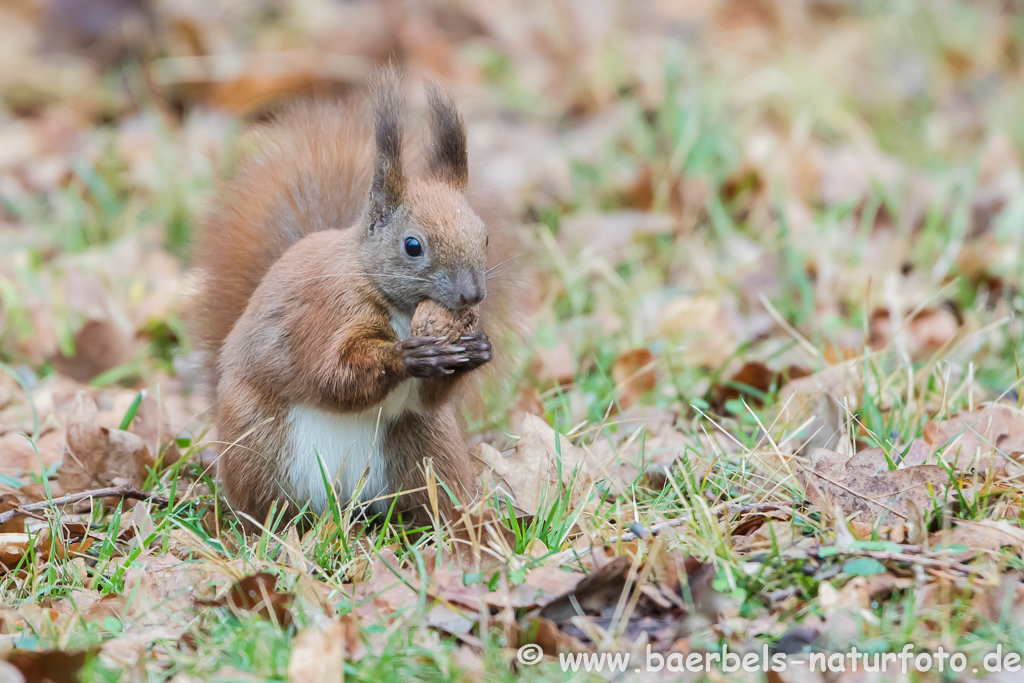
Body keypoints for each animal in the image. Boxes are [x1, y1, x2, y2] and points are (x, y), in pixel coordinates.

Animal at [192, 70, 512, 524]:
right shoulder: (326, 312)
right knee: (266, 506)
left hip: (428, 448)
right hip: (255, 447)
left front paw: (478, 348)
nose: (473, 294)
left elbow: (429, 396)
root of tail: (345, 501)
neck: (397, 307)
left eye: (484, 237)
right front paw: (408, 356)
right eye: (412, 246)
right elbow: (332, 374)